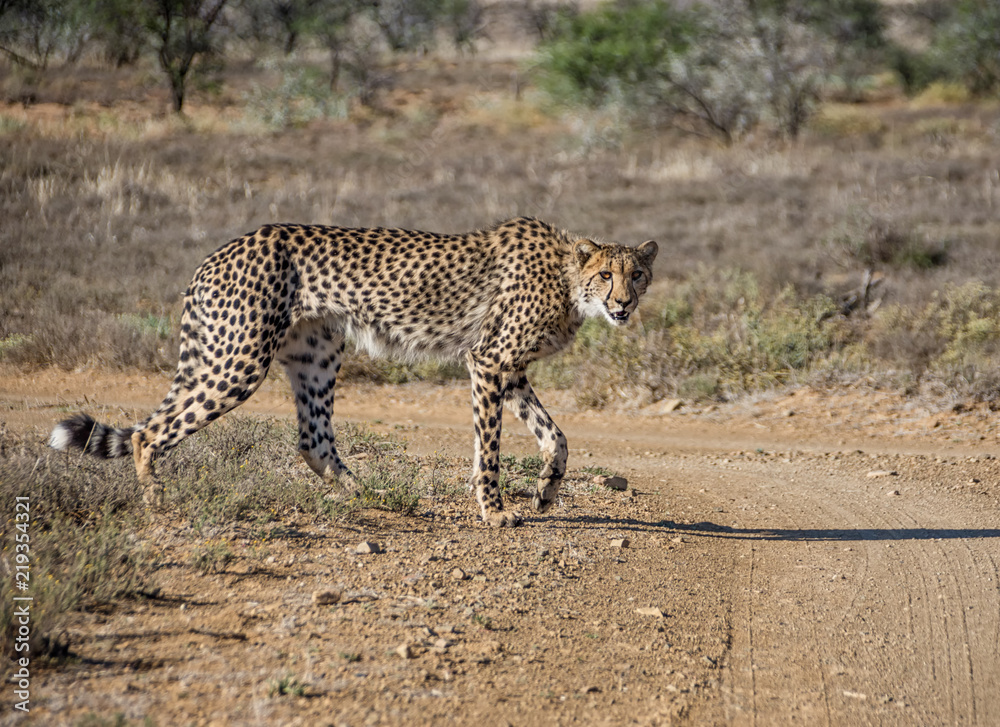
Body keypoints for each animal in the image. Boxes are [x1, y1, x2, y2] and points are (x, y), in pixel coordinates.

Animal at [49, 216, 658, 527]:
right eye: (606, 274)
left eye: (637, 274)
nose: (624, 305)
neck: (568, 281)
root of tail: (218, 253)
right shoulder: (487, 360)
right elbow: (490, 446)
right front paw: (494, 510)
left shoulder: (508, 368)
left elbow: (557, 437)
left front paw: (546, 493)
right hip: (238, 359)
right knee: (150, 432)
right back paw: (158, 508)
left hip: (314, 354)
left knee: (312, 439)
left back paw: (372, 494)